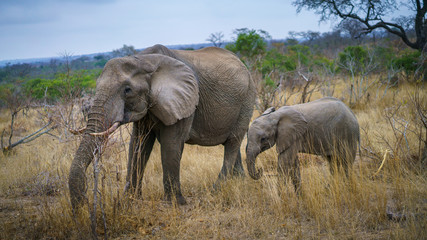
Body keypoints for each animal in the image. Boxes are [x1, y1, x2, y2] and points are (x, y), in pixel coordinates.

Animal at [68, 44, 256, 209]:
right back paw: (238, 182)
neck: (144, 60)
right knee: (231, 144)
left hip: (247, 99)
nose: (84, 204)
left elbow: (171, 144)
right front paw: (130, 200)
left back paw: (216, 190)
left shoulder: (186, 101)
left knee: (233, 142)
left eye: (127, 90)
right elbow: (138, 144)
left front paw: (175, 203)